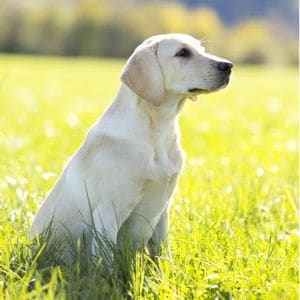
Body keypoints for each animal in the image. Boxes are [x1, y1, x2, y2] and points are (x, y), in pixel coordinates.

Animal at [29, 34, 232, 262]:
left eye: (201, 49)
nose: (228, 66)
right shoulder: (109, 211)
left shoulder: (163, 207)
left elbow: (162, 252)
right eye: (182, 53)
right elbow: (106, 261)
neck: (157, 132)